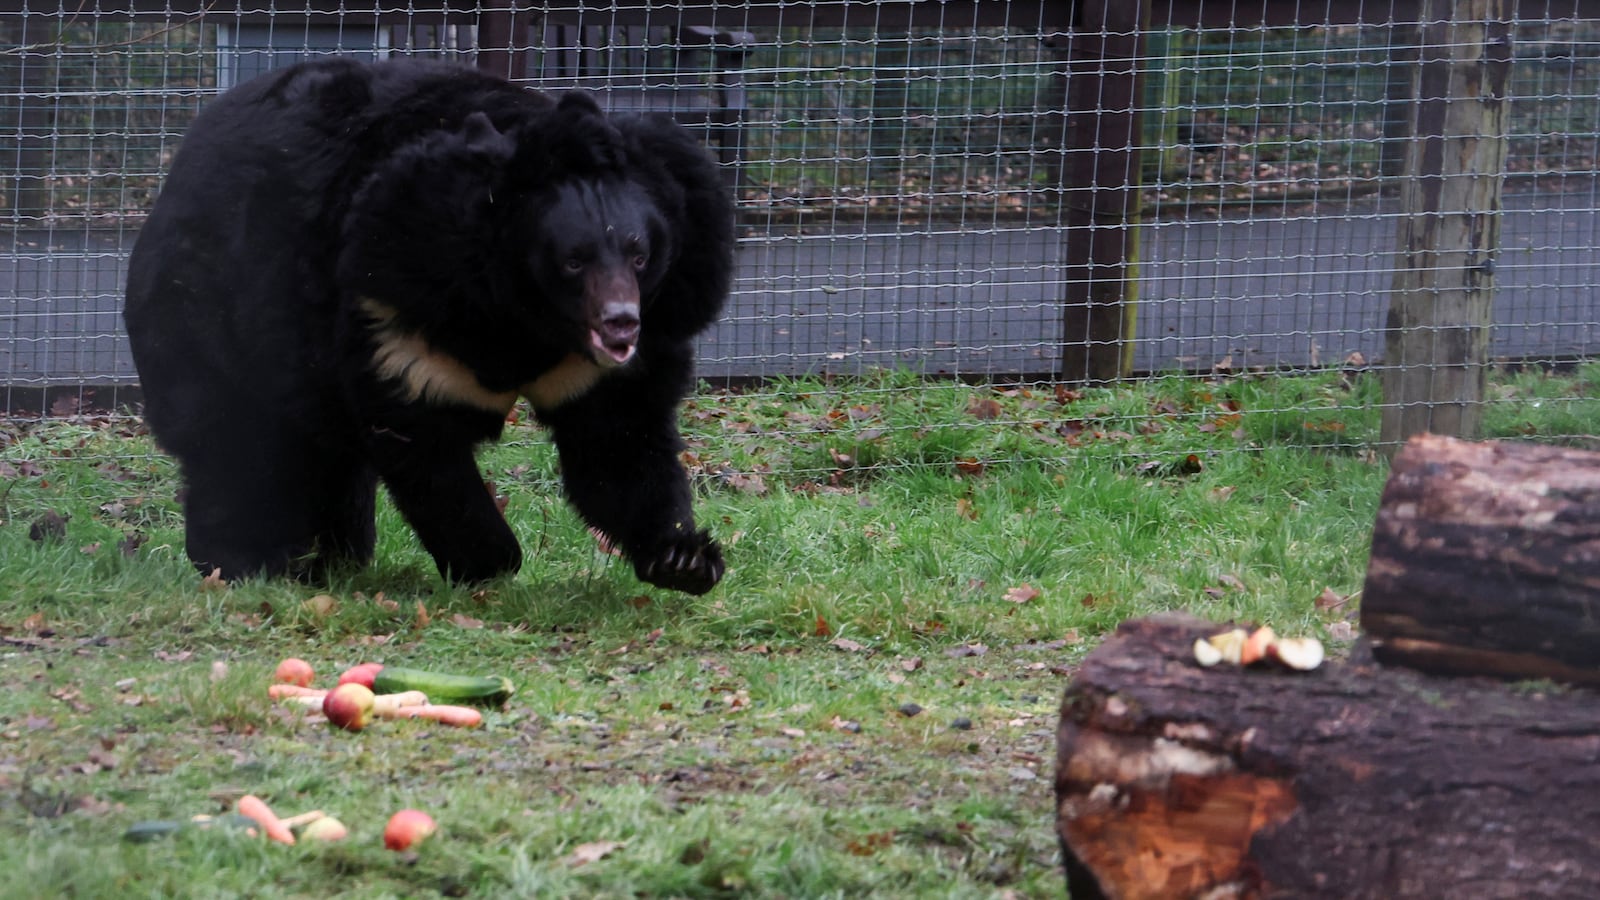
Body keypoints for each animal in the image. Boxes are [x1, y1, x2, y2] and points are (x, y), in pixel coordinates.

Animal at [122, 57, 733, 595]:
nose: (621, 324)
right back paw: (244, 562)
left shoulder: (612, 357)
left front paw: (683, 559)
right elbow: (427, 449)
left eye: (639, 254)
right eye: (573, 261)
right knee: (234, 445)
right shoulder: (399, 315)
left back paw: (334, 560)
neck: (524, 323)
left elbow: (618, 441)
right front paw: (489, 561)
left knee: (323, 456)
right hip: (212, 315)